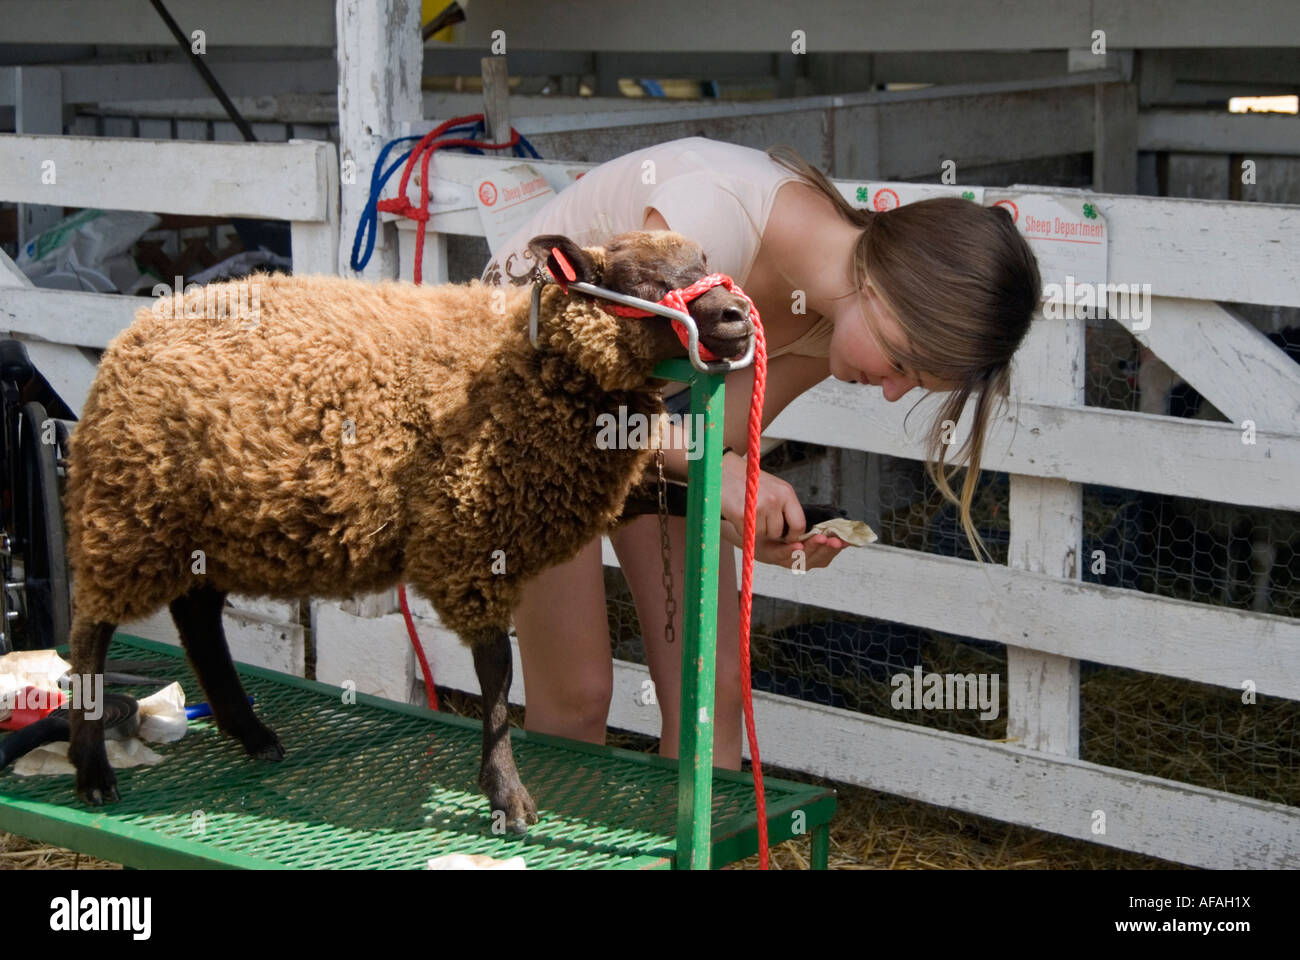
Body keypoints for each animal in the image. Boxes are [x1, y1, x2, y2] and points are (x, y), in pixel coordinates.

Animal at [63, 231, 754, 832]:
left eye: (703, 260)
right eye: (642, 281)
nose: (736, 315)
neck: (525, 365)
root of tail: (132, 332)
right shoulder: (467, 542)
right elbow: (497, 674)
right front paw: (506, 794)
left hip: (204, 528)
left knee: (198, 615)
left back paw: (251, 734)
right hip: (128, 516)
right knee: (91, 633)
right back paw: (92, 768)